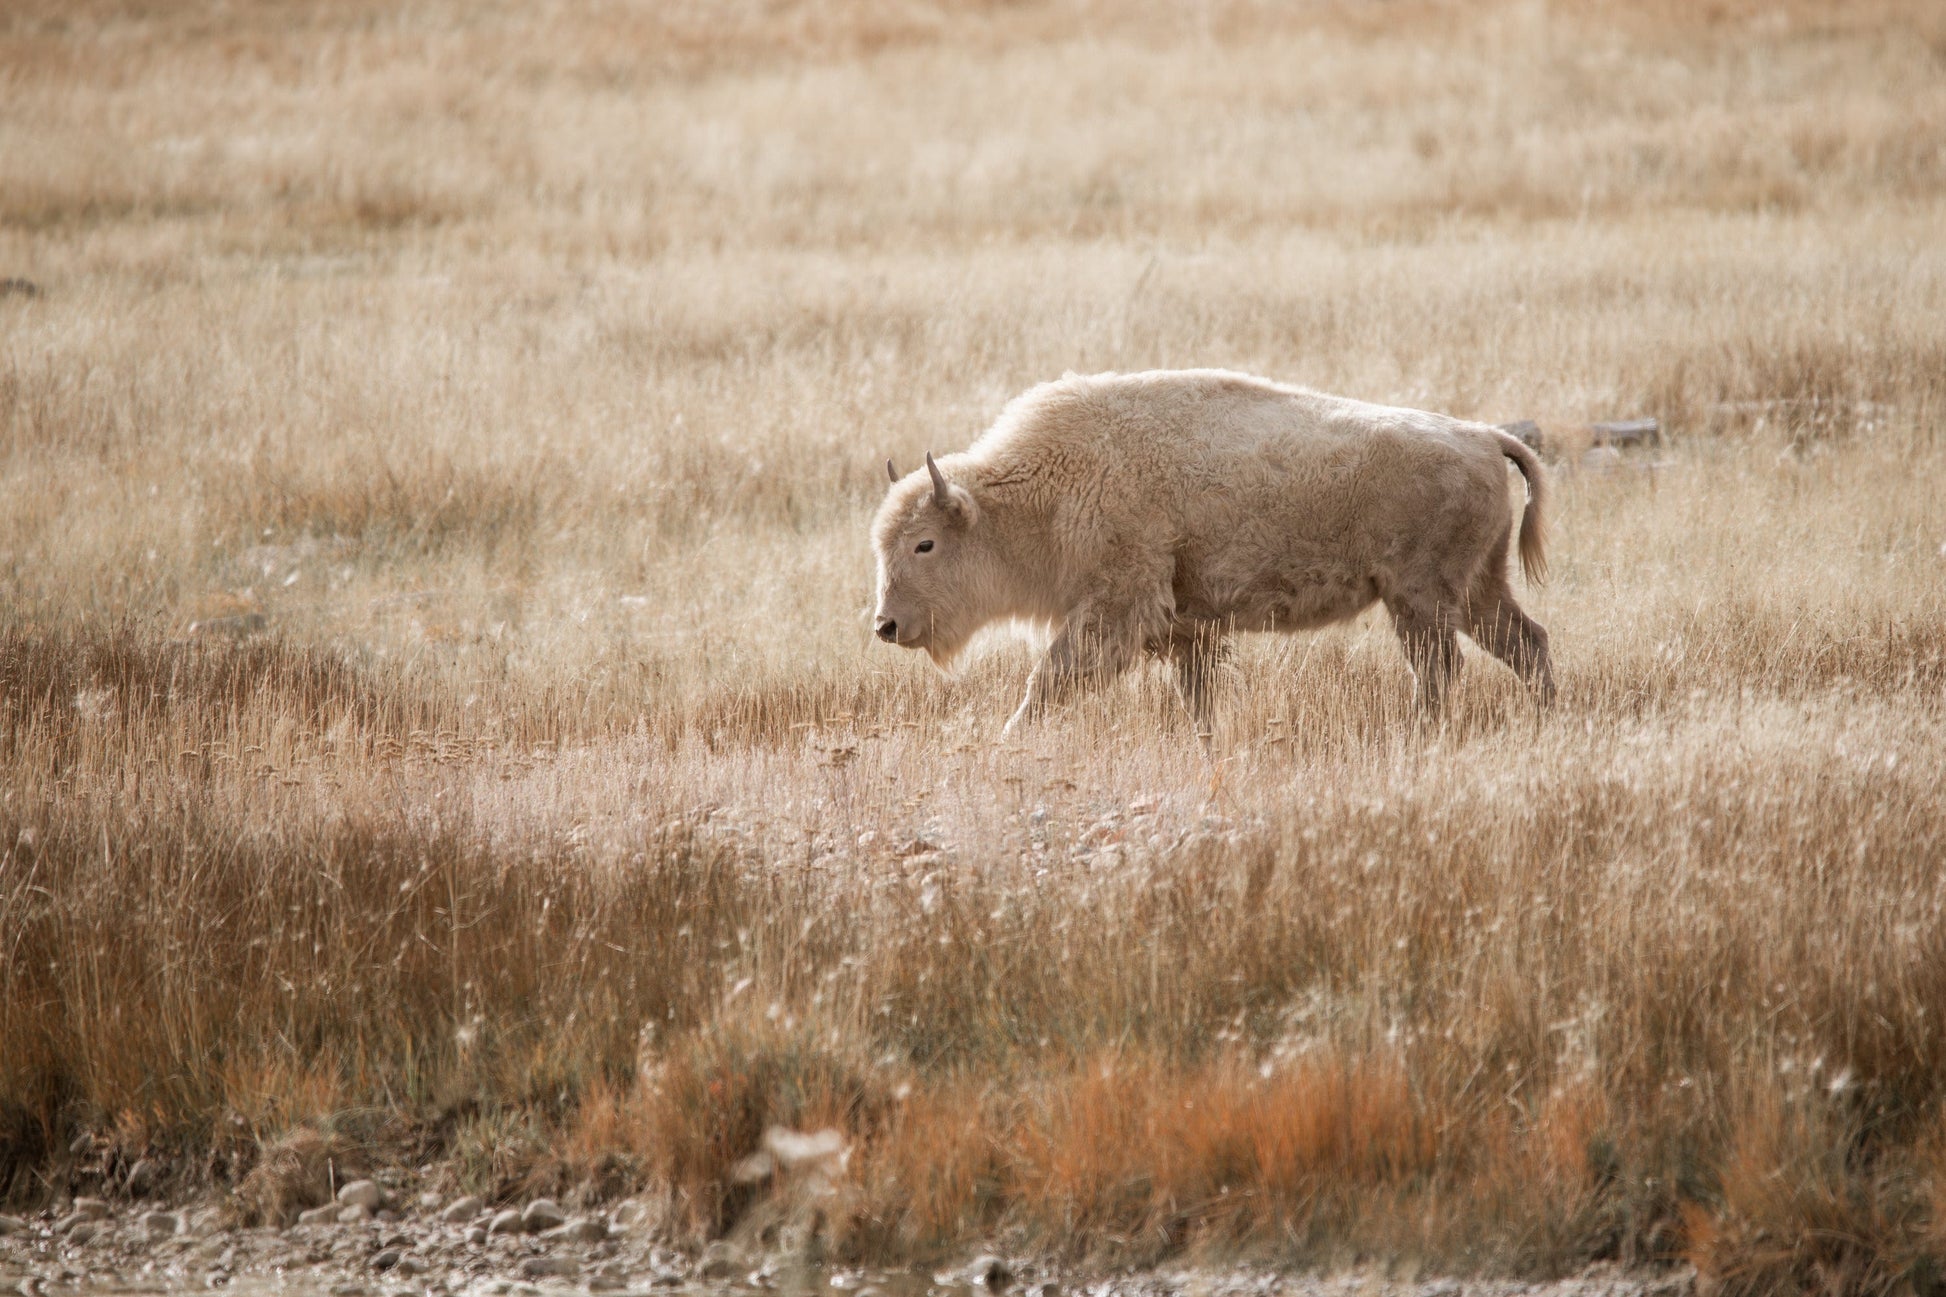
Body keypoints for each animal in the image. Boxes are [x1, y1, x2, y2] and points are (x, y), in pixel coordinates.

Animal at [875, 368, 1556, 732]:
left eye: (925, 544)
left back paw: (1418, 733)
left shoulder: (1116, 608)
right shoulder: (1186, 628)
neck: (1045, 487)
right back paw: (1549, 716)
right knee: (1526, 642)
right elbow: (1196, 697)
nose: (886, 625)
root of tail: (1482, 437)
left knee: (1440, 669)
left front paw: (1010, 737)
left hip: (1419, 599)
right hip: (1475, 591)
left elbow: (1049, 678)